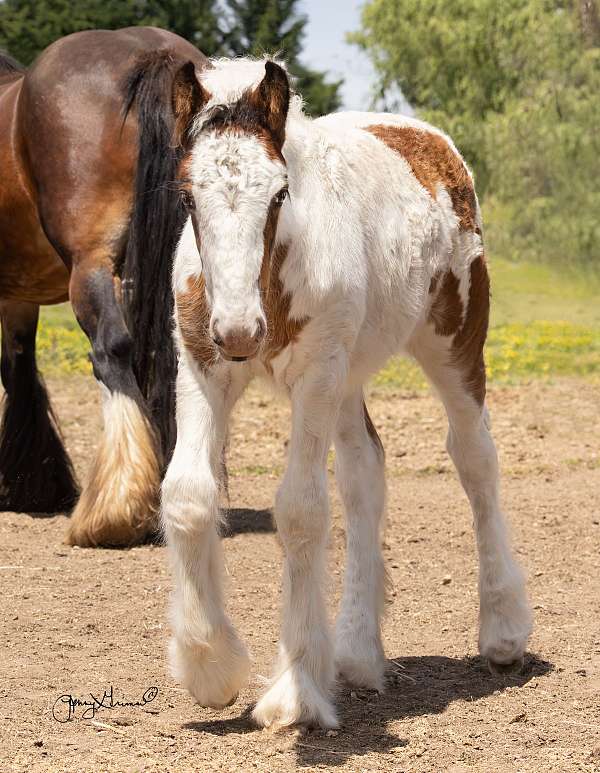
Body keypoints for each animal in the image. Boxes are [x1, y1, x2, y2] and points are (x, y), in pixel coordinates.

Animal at [0, 28, 209, 544]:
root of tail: (153, 53)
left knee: (112, 349)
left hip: (92, 266)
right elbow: (19, 368)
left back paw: (117, 506)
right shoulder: (18, 295)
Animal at [157, 57, 532, 728]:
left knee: (475, 460)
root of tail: (427, 138)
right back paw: (357, 653)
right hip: (350, 374)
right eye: (186, 194)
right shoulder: (203, 365)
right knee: (365, 473)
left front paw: (297, 690)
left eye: (280, 193)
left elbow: (302, 510)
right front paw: (210, 667)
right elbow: (188, 496)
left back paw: (503, 631)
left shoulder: (317, 372)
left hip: (453, 341)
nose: (239, 331)